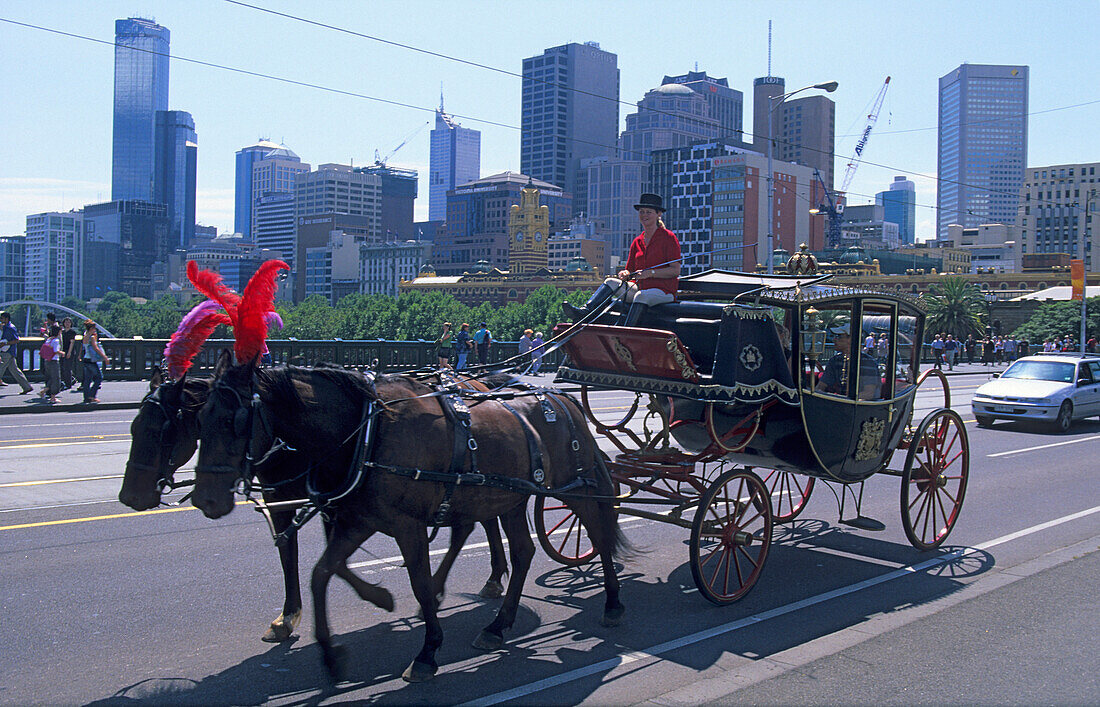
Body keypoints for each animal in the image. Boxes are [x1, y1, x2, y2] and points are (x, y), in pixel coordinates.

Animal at [120, 365, 510, 642]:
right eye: (134, 426)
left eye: (164, 430)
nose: (129, 496)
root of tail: (479, 384)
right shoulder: (294, 499)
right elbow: (298, 555)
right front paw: (288, 615)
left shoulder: (332, 502)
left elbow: (330, 559)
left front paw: (375, 597)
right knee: (477, 522)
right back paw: (485, 579)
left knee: (475, 524)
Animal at [191, 356, 629, 681]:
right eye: (199, 418)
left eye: (234, 420)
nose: (205, 500)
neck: (367, 430)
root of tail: (562, 397)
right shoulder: (358, 520)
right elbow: (322, 573)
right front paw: (334, 651)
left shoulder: (408, 525)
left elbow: (418, 582)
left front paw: (427, 650)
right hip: (509, 499)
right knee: (522, 551)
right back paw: (496, 626)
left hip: (574, 488)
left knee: (599, 532)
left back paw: (612, 603)